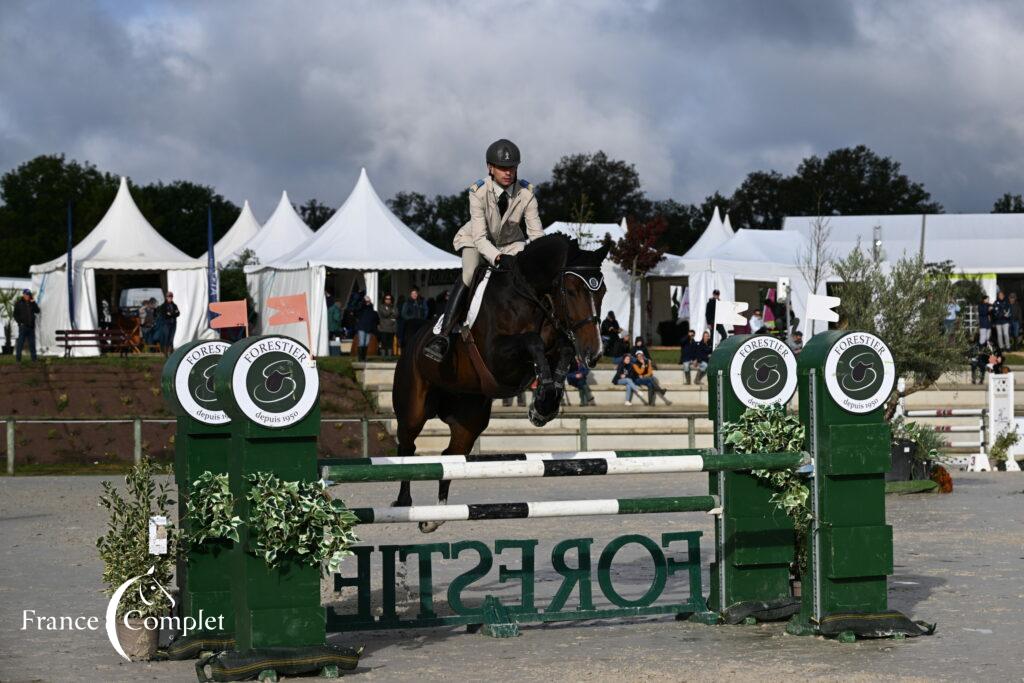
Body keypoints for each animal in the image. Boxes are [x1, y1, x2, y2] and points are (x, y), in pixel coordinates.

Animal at [395, 232, 606, 532]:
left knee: (451, 455)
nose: (594, 352)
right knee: (408, 447)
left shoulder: (555, 343)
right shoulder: (496, 356)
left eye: (602, 291)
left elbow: (562, 350)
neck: (530, 296)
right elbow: (533, 341)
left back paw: (435, 517)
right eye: (572, 291)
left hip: (469, 418)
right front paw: (542, 402)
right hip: (413, 407)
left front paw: (543, 406)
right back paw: (404, 503)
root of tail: (411, 341)